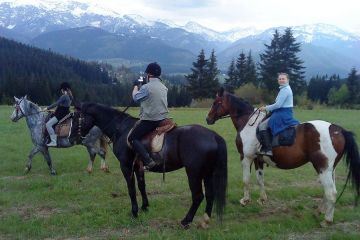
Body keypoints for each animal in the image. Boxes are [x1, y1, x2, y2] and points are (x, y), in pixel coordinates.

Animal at [79, 102, 228, 228]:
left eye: (77, 116)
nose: (81, 138)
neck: (121, 129)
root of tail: (213, 135)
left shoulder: (126, 167)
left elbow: (132, 190)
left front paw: (134, 212)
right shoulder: (138, 167)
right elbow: (141, 186)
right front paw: (145, 207)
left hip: (194, 173)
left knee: (198, 196)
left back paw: (186, 221)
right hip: (207, 173)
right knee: (210, 194)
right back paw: (204, 221)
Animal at [205, 88, 360, 227]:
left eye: (217, 102)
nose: (208, 119)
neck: (249, 123)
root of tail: (338, 130)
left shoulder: (246, 157)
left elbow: (246, 180)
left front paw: (245, 200)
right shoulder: (258, 159)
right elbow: (260, 179)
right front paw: (262, 199)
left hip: (322, 167)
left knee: (331, 193)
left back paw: (327, 220)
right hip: (329, 169)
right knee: (328, 191)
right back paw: (320, 211)